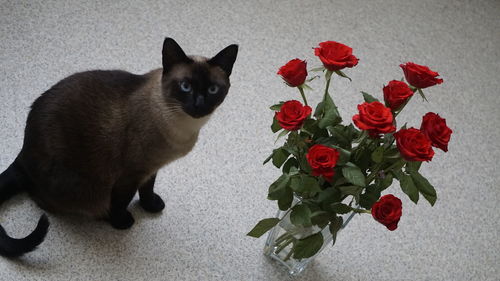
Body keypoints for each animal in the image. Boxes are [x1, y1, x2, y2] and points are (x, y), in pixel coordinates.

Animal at [0, 37, 237, 256]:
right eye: (185, 87)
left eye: (213, 89)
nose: (199, 105)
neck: (183, 128)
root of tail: (22, 152)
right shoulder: (130, 174)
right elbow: (122, 200)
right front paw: (121, 221)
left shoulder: (150, 168)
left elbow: (147, 189)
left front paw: (150, 207)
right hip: (79, 187)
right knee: (44, 200)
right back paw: (103, 215)